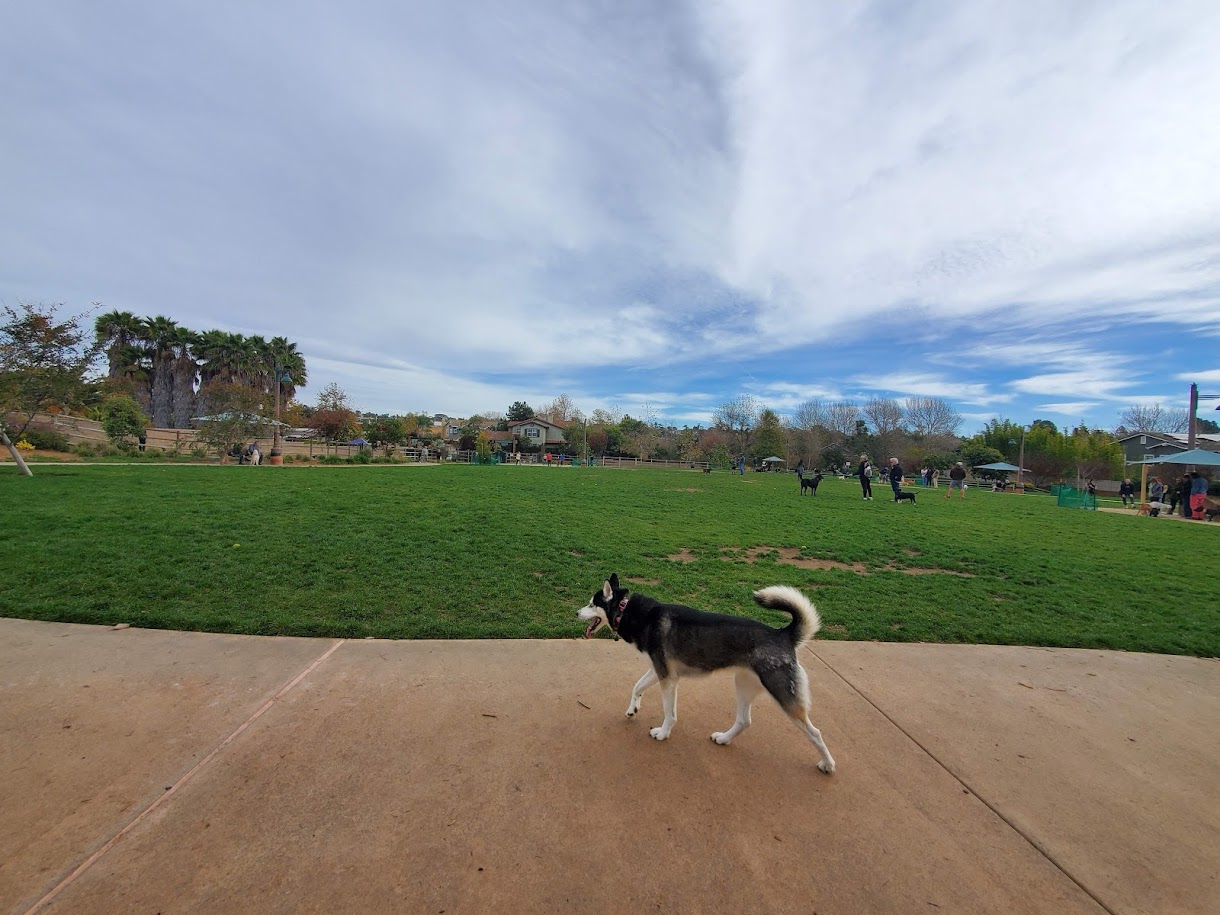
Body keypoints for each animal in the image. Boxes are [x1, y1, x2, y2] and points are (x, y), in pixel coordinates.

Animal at [575, 573, 834, 775]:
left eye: (591, 604)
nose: (576, 613)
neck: (627, 611)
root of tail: (782, 634)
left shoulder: (667, 678)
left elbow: (669, 713)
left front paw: (663, 733)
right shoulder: (659, 670)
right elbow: (636, 686)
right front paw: (632, 708)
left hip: (783, 695)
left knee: (816, 733)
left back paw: (828, 764)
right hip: (743, 684)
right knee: (744, 720)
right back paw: (724, 739)